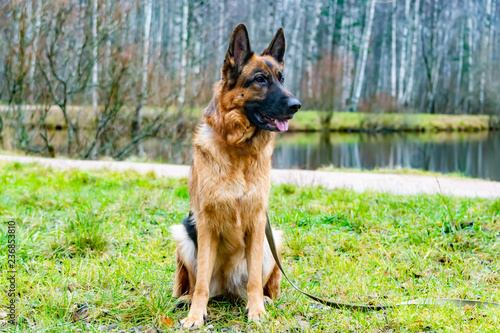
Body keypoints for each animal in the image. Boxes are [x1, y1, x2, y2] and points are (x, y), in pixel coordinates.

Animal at [170, 23, 300, 326]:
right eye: (260, 79)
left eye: (282, 79)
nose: (296, 105)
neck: (239, 150)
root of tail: (228, 288)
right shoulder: (206, 224)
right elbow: (201, 283)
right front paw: (196, 315)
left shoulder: (257, 222)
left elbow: (253, 281)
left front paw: (256, 311)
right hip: (184, 236)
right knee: (196, 283)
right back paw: (186, 300)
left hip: (271, 241)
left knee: (259, 283)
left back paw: (263, 300)